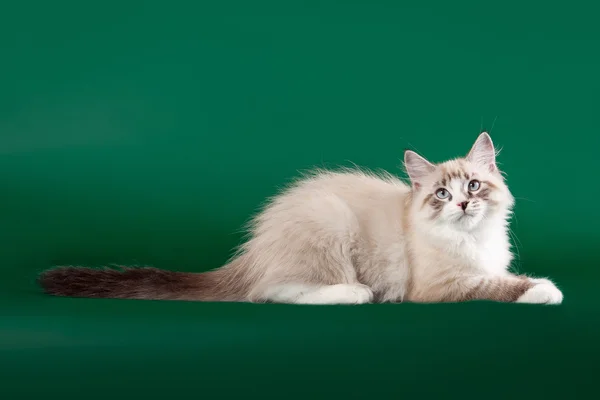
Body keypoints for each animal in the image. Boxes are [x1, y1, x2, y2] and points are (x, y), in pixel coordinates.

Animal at [37, 133, 564, 304]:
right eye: (440, 194)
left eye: (473, 186)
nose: (462, 205)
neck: (473, 240)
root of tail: (252, 251)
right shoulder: (442, 286)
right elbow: (497, 285)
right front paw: (545, 291)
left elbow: (500, 275)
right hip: (329, 225)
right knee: (275, 292)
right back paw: (357, 293)